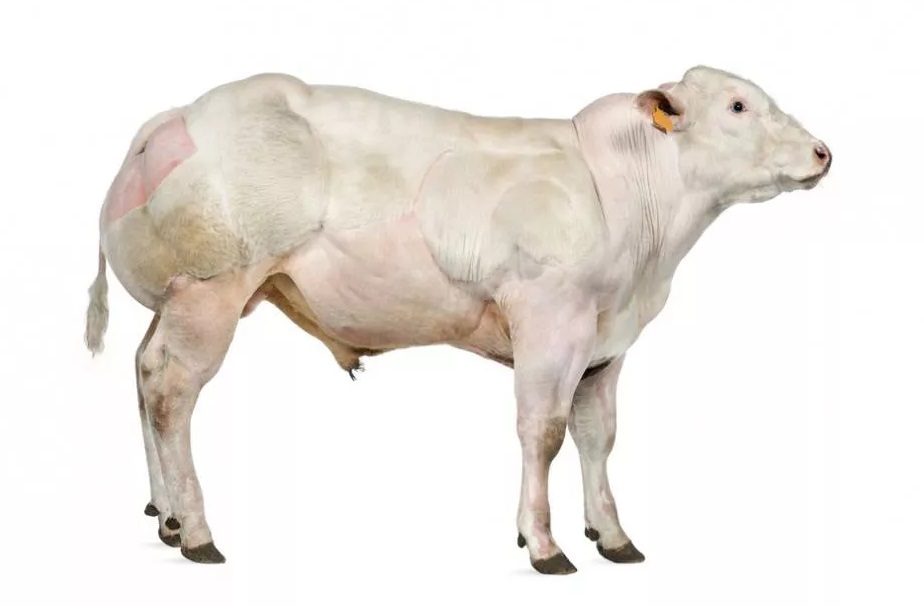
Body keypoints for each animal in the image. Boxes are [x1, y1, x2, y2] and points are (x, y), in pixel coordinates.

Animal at [84, 65, 831, 574]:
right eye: (738, 105)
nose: (823, 151)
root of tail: (174, 115)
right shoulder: (551, 320)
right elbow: (544, 432)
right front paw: (543, 543)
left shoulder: (606, 344)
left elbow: (598, 435)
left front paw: (613, 535)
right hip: (209, 293)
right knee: (172, 392)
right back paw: (197, 531)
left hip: (178, 301)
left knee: (142, 373)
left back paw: (165, 514)